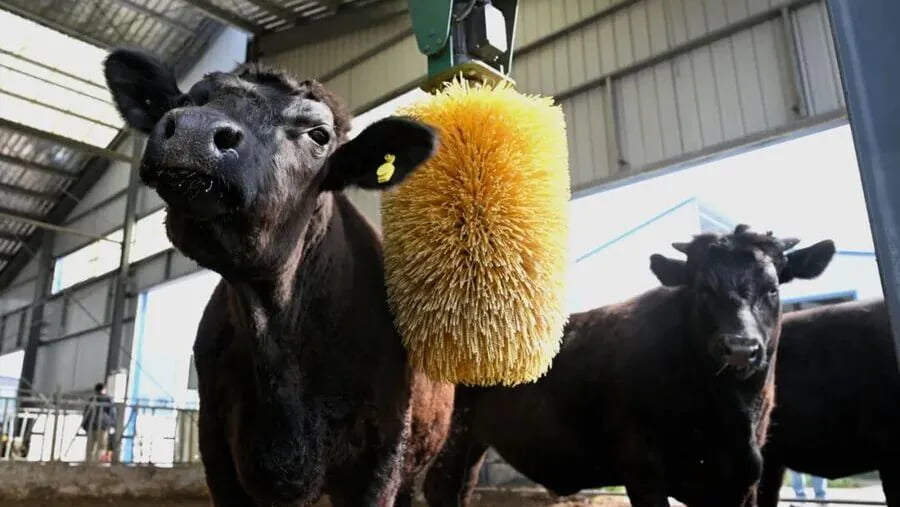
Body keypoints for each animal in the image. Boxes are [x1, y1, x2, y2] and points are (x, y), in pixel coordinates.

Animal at [423, 225, 836, 507]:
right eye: (702, 289)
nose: (740, 348)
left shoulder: (743, 479)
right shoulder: (641, 468)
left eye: (773, 288)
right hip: (452, 434)